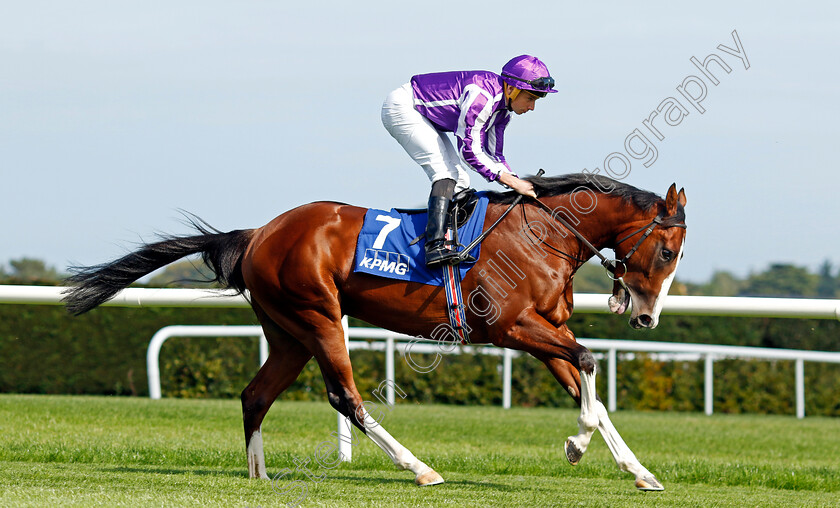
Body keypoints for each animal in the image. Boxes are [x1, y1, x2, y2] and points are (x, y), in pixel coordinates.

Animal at [60, 172, 688, 492]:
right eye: (666, 250)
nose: (646, 318)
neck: (544, 233)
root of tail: (259, 232)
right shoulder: (512, 327)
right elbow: (588, 364)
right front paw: (576, 445)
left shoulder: (544, 328)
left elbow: (590, 386)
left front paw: (639, 471)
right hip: (317, 316)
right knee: (345, 396)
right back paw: (420, 469)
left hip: (288, 333)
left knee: (255, 395)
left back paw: (258, 473)